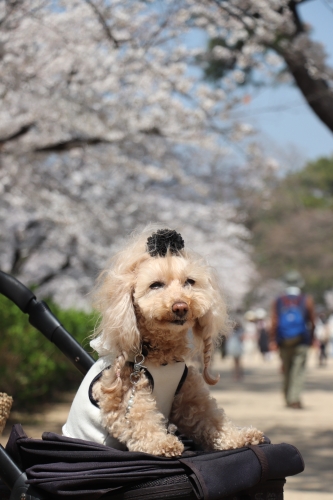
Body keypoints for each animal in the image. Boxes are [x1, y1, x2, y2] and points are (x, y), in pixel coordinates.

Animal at [62, 229, 262, 456]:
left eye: (189, 282)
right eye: (155, 285)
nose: (181, 306)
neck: (161, 356)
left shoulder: (188, 396)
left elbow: (210, 417)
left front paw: (239, 436)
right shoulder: (126, 395)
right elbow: (140, 419)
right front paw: (162, 444)